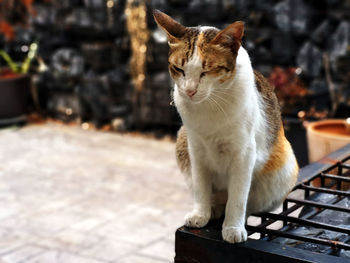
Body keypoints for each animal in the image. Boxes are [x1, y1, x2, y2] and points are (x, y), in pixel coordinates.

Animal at [153, 10, 298, 245]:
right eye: (179, 69)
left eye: (207, 71)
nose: (190, 91)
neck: (209, 105)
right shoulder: (196, 148)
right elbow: (201, 187)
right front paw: (201, 214)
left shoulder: (244, 154)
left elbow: (238, 197)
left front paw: (233, 227)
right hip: (182, 142)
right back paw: (213, 209)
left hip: (284, 168)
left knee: (248, 203)